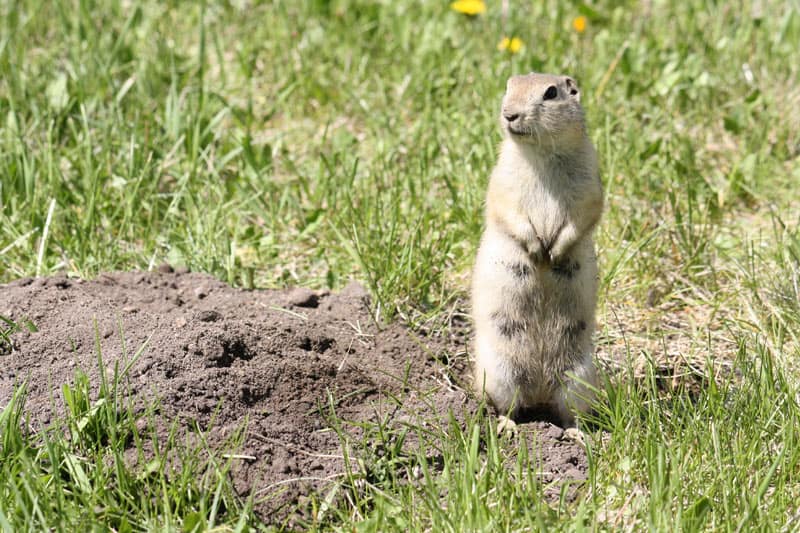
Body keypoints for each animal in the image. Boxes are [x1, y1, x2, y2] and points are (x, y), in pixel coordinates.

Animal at [472, 71, 604, 428]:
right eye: (508, 86)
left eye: (551, 93)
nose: (509, 114)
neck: (541, 152)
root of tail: (540, 391)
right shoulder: (501, 179)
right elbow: (506, 209)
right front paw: (536, 249)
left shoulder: (591, 180)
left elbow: (585, 212)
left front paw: (555, 252)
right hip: (499, 372)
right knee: (509, 407)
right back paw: (508, 427)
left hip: (579, 377)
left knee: (570, 412)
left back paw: (575, 432)